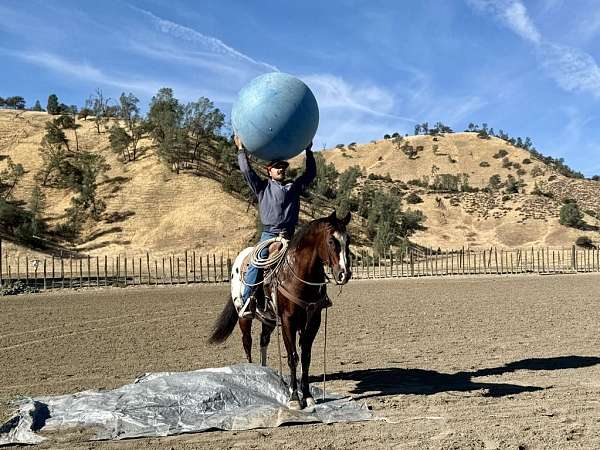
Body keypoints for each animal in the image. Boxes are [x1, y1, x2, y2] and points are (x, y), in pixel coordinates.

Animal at [210, 211, 352, 412]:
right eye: (331, 241)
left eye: (348, 240)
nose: (344, 274)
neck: (298, 276)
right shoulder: (288, 321)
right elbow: (292, 357)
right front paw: (294, 398)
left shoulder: (313, 320)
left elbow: (305, 357)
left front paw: (307, 396)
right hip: (244, 317)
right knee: (247, 342)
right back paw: (250, 372)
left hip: (269, 320)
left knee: (263, 340)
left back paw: (264, 371)